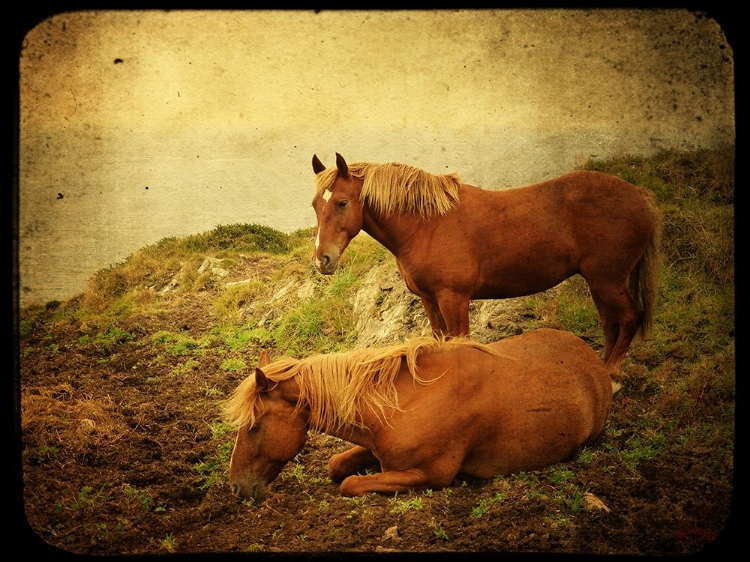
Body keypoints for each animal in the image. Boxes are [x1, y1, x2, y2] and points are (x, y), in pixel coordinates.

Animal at [226, 326, 612, 500]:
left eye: (254, 427)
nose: (236, 487)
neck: (409, 399)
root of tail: (595, 359)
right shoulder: (377, 447)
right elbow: (337, 465)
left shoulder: (426, 475)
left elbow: (349, 483)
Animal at [312, 153, 664, 376]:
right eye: (316, 204)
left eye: (342, 202)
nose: (322, 260)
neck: (426, 225)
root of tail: (639, 195)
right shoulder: (429, 300)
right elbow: (440, 340)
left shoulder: (454, 298)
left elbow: (461, 342)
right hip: (599, 283)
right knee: (611, 324)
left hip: (609, 280)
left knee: (630, 317)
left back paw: (612, 375)